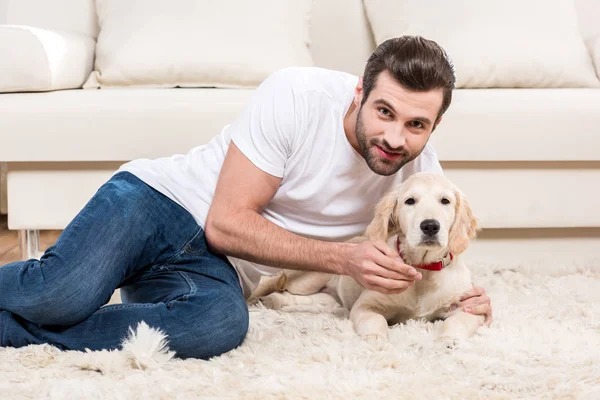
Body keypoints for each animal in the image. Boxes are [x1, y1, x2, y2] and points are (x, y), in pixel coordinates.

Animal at [253, 172, 482, 344]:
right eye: (410, 201)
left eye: (445, 201)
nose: (430, 226)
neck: (423, 270)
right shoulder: (367, 304)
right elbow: (375, 319)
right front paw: (376, 339)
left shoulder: (468, 306)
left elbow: (456, 322)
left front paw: (448, 341)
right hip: (309, 277)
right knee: (283, 288)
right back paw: (268, 298)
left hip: (330, 300)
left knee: (312, 300)